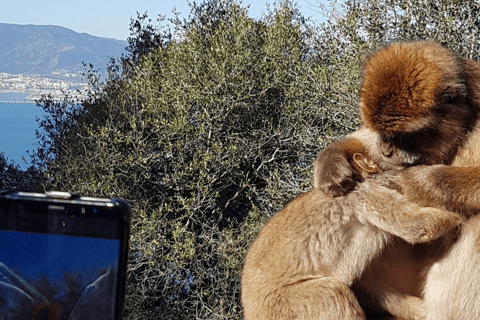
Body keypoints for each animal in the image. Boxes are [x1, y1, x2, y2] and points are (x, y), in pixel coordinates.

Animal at [242, 139, 464, 320]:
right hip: (283, 306)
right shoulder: (364, 194)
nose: (413, 155)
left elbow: (367, 281)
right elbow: (418, 226)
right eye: (390, 154)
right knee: (330, 292)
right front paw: (457, 222)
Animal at [314, 41, 480, 318]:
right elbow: (363, 145)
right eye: (383, 134)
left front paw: (408, 182)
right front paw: (331, 162)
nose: (387, 150)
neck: (466, 124)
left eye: (403, 137)